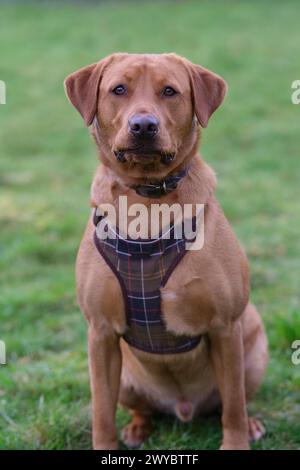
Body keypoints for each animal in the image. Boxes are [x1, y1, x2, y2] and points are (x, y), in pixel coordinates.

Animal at [64, 53, 268, 450]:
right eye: (118, 89)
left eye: (170, 91)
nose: (143, 126)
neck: (147, 200)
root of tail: (184, 406)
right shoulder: (100, 334)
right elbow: (101, 413)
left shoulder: (225, 328)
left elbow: (233, 407)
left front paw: (237, 441)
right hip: (126, 378)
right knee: (138, 408)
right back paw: (137, 428)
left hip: (253, 348)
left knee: (235, 400)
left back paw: (251, 422)